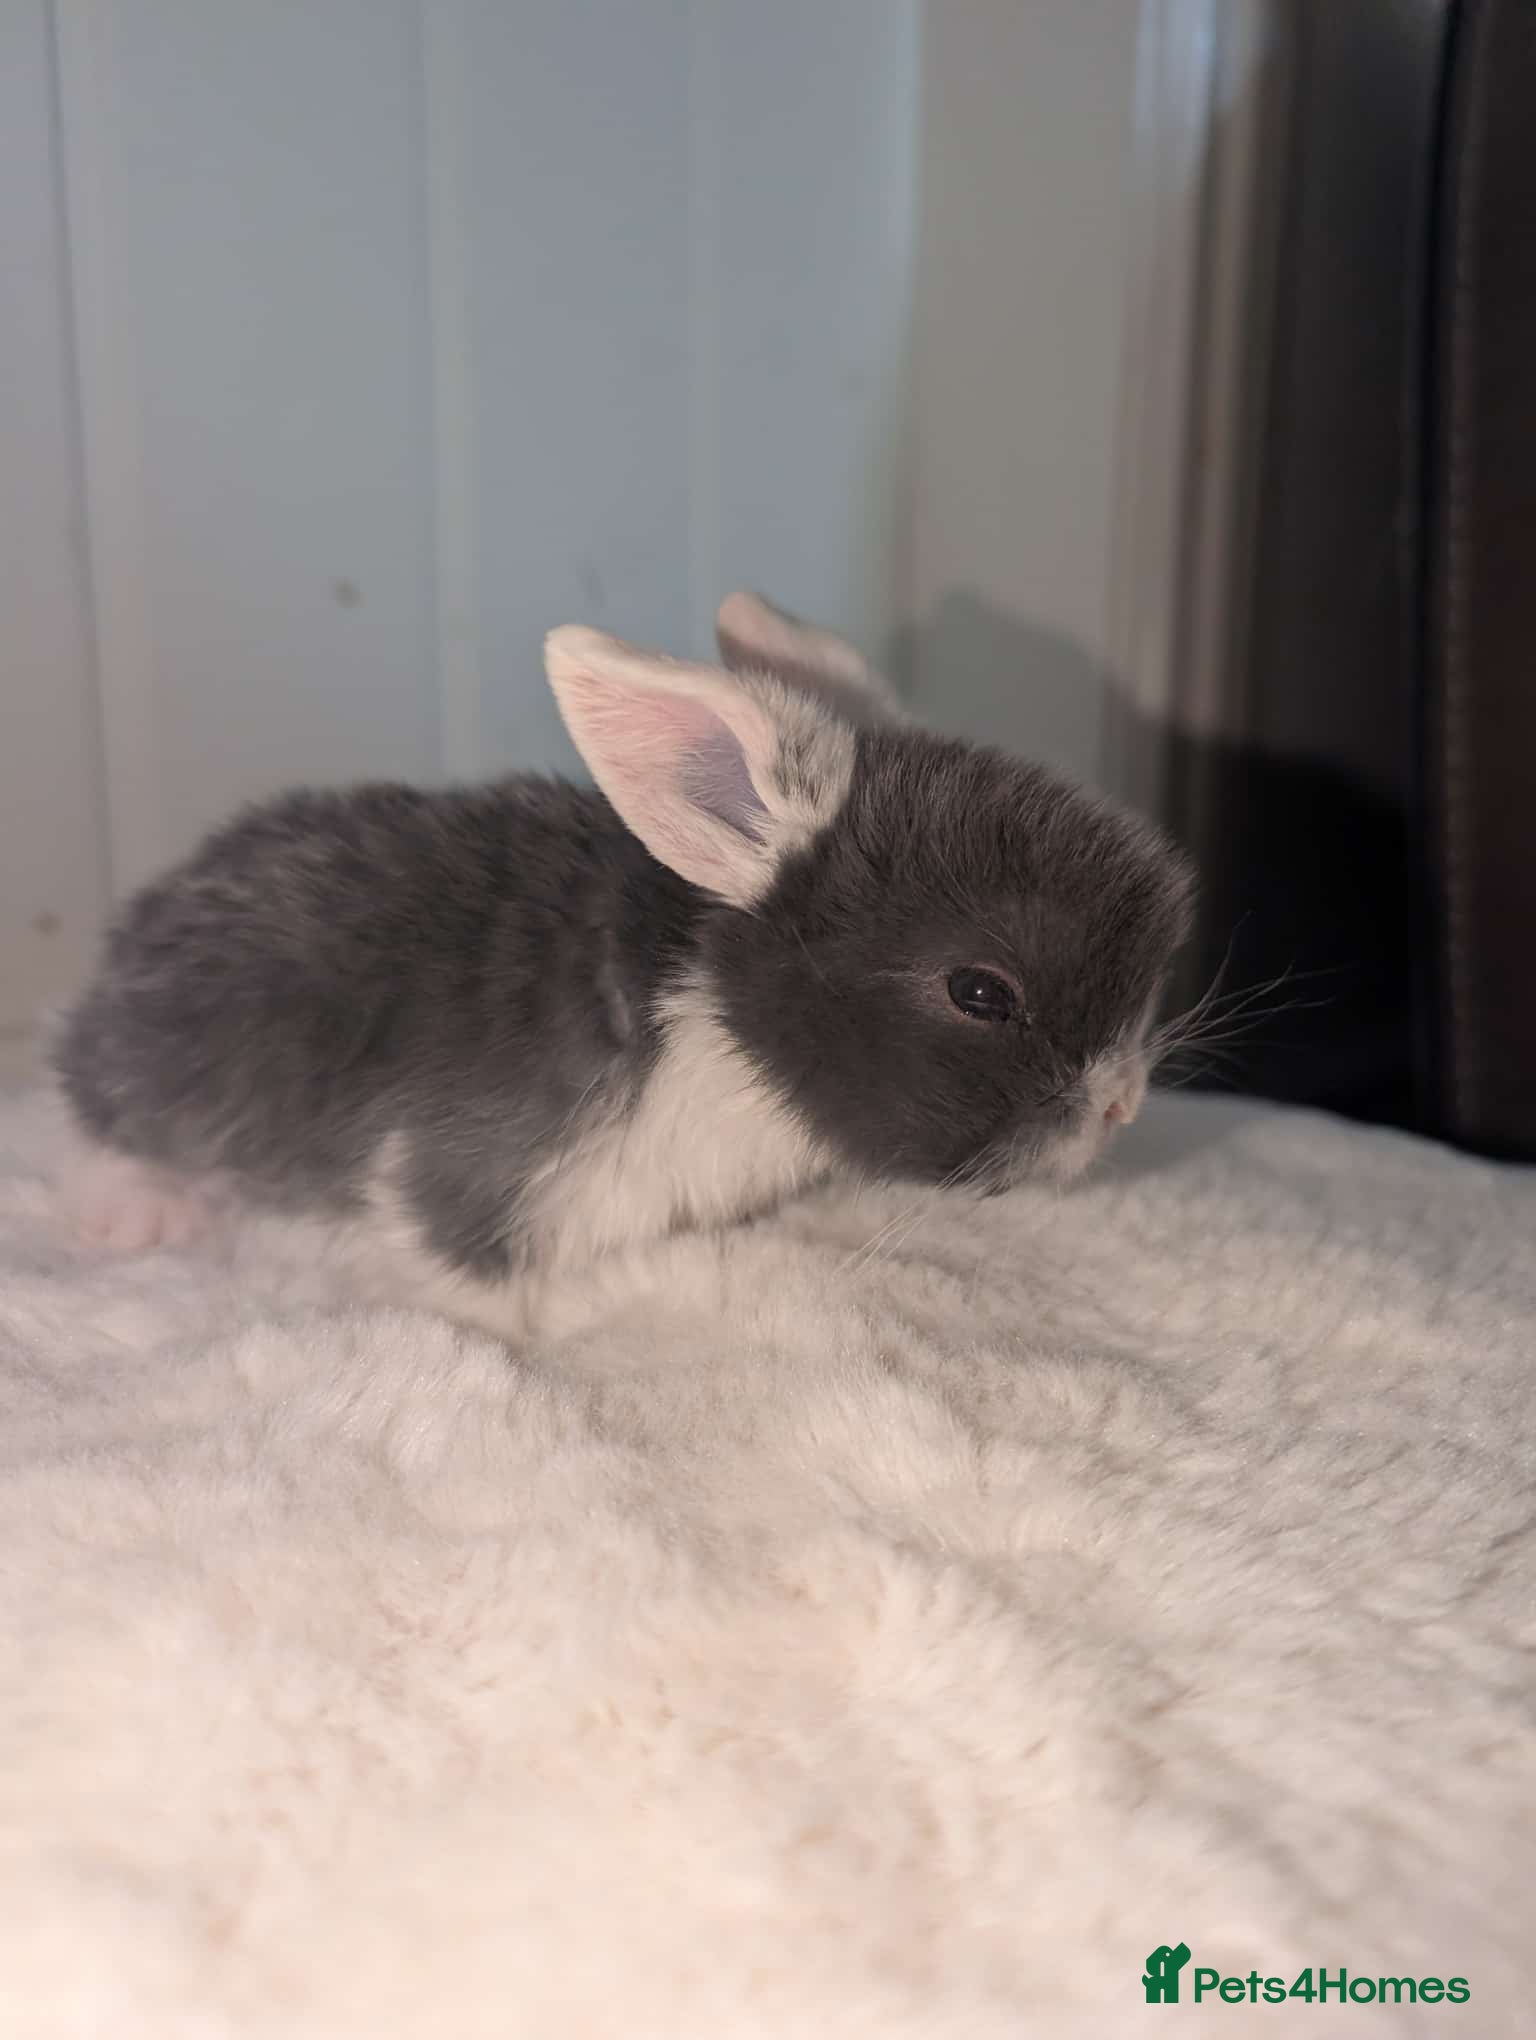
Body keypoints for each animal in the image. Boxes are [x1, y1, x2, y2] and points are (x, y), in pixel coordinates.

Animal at [53, 591, 1193, 1320]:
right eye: (981, 992)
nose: (1123, 1104)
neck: (708, 1013)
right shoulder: (464, 1173)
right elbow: (460, 1272)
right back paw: (138, 1212)